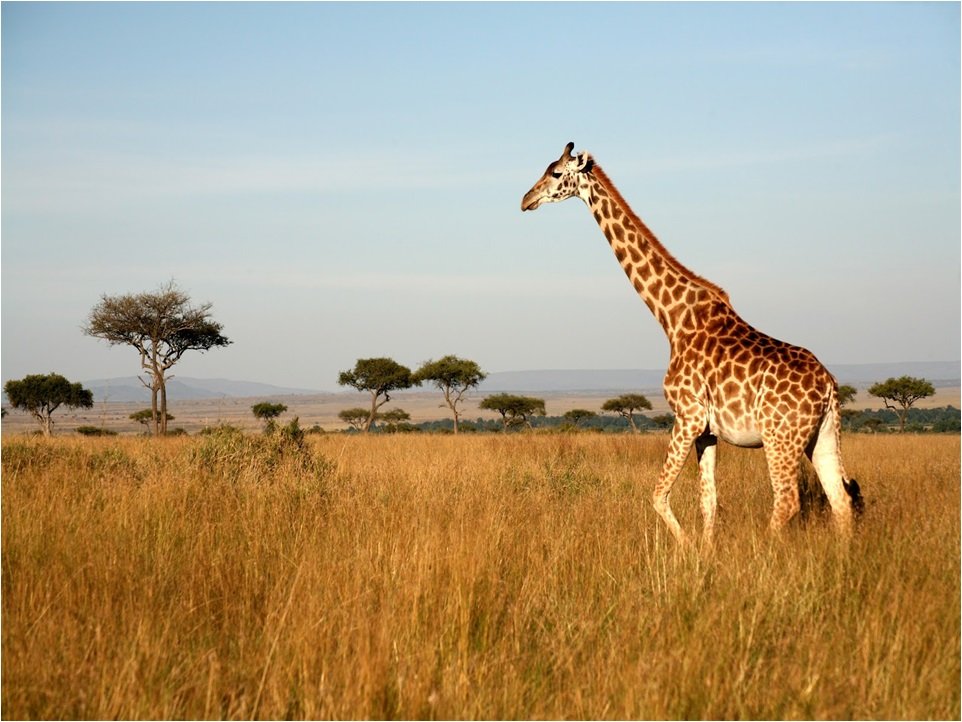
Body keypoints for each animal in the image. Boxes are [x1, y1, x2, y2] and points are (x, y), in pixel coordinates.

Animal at [520, 142, 860, 544]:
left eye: (556, 173)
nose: (526, 199)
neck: (673, 318)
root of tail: (829, 387)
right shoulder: (708, 431)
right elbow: (708, 501)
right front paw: (705, 550)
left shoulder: (688, 417)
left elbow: (658, 495)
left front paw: (685, 547)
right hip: (822, 435)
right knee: (840, 500)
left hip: (781, 437)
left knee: (787, 500)